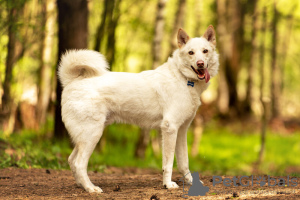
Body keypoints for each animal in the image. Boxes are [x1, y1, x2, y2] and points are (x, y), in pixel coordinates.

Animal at [58, 25, 218, 193]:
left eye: (205, 51)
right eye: (191, 52)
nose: (200, 63)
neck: (183, 78)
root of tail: (72, 81)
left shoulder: (181, 130)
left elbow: (184, 163)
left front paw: (191, 182)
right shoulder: (170, 128)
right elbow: (168, 164)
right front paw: (168, 184)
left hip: (85, 137)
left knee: (71, 160)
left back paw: (81, 185)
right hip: (92, 135)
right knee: (79, 163)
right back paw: (91, 188)